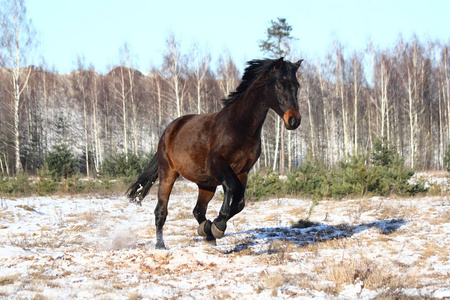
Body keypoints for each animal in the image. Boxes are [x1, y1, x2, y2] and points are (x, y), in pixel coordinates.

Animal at [126, 57, 302, 250]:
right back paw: (161, 245)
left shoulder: (243, 171)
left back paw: (207, 233)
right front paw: (218, 226)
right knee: (161, 211)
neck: (240, 127)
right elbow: (231, 187)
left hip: (206, 184)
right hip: (168, 174)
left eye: (297, 86)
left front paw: (213, 226)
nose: (294, 120)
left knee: (198, 210)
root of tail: (169, 129)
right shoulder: (217, 164)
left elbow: (239, 203)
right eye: (279, 86)